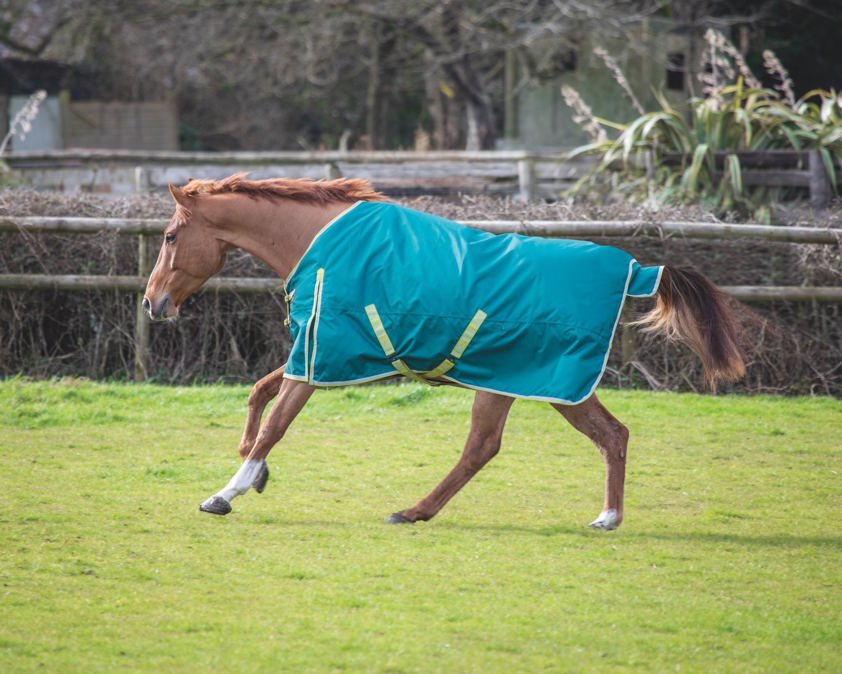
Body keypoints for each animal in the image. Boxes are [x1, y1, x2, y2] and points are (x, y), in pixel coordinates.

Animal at [144, 175, 740, 532]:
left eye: (170, 236)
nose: (152, 303)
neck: (320, 242)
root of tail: (634, 269)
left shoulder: (319, 357)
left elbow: (275, 423)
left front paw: (226, 493)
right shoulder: (311, 353)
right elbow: (258, 394)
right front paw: (255, 470)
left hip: (518, 382)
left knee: (483, 447)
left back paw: (413, 511)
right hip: (550, 387)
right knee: (611, 436)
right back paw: (607, 517)